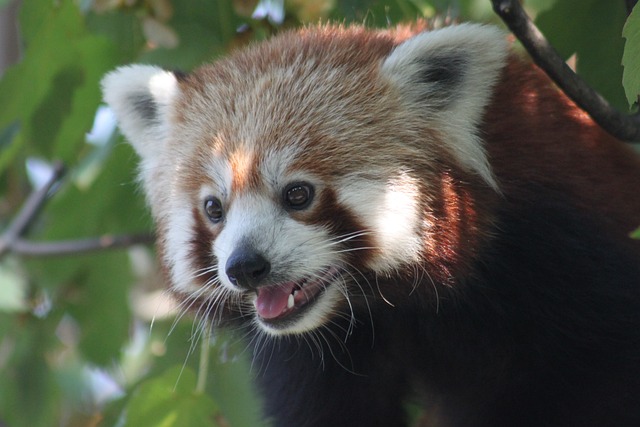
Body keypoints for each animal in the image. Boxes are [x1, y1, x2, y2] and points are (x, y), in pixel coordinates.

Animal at [102, 22, 640, 427]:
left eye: (298, 193)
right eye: (215, 208)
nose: (245, 267)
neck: (392, 305)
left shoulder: (563, 251)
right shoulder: (310, 358)